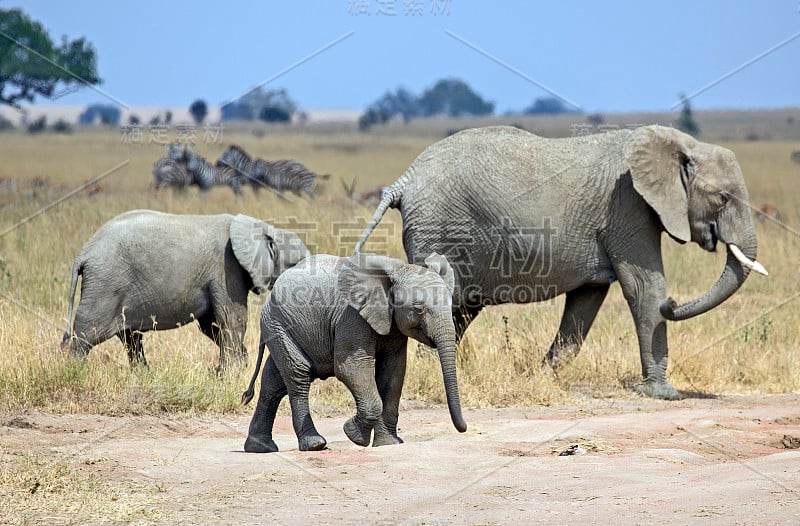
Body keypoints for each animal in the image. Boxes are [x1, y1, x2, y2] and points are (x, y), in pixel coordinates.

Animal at [61, 209, 310, 372]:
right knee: (87, 332)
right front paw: (233, 373)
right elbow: (231, 319)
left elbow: (211, 324)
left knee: (129, 336)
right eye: (296, 264)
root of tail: (84, 252)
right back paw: (73, 372)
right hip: (106, 284)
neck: (263, 227)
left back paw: (143, 374)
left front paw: (231, 368)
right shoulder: (226, 267)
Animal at [244, 253, 468, 454]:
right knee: (298, 375)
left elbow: (393, 373)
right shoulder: (351, 316)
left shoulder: (392, 324)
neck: (397, 269)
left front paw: (388, 444)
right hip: (278, 323)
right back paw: (314, 445)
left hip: (280, 327)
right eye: (418, 309)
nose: (463, 428)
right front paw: (354, 435)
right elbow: (350, 367)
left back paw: (260, 448)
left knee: (274, 382)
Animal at [354, 126, 764, 402]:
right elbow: (644, 288)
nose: (674, 304)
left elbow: (586, 302)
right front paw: (664, 394)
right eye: (723, 197)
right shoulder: (628, 207)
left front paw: (543, 377)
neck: (679, 143)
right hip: (441, 227)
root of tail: (404, 179)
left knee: (461, 310)